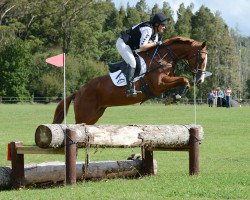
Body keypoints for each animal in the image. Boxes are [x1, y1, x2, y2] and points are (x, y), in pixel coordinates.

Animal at [52, 36, 207, 124]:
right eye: (201, 58)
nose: (200, 80)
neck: (163, 57)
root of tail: (78, 92)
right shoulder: (158, 84)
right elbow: (184, 79)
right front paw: (175, 96)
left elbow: (183, 81)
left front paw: (174, 96)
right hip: (84, 115)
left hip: (94, 115)